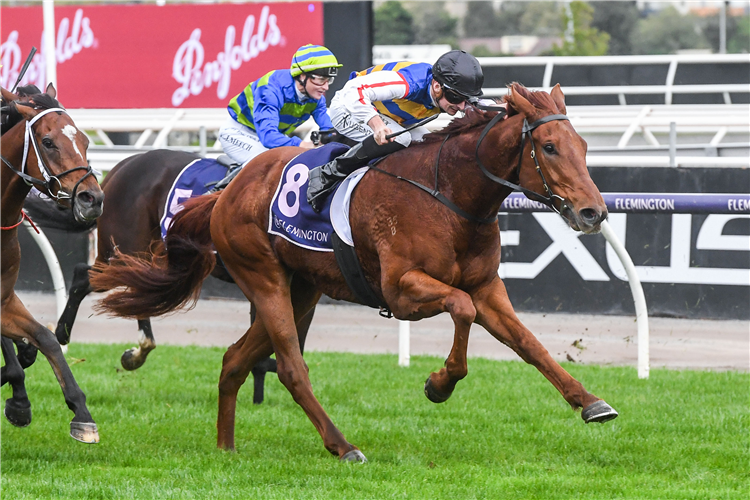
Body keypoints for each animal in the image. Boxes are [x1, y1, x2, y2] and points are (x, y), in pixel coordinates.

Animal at [0, 84, 104, 444]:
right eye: (47, 142)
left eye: (85, 140)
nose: (93, 199)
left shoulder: (4, 299)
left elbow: (45, 339)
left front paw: (82, 414)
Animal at [89, 83, 616, 460]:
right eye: (549, 146)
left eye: (583, 144)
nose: (593, 213)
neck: (449, 193)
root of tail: (228, 191)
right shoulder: (402, 291)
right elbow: (461, 309)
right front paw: (438, 384)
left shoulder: (487, 287)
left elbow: (529, 344)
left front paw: (591, 402)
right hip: (262, 277)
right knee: (291, 368)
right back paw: (343, 446)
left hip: (300, 289)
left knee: (235, 359)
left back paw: (225, 447)